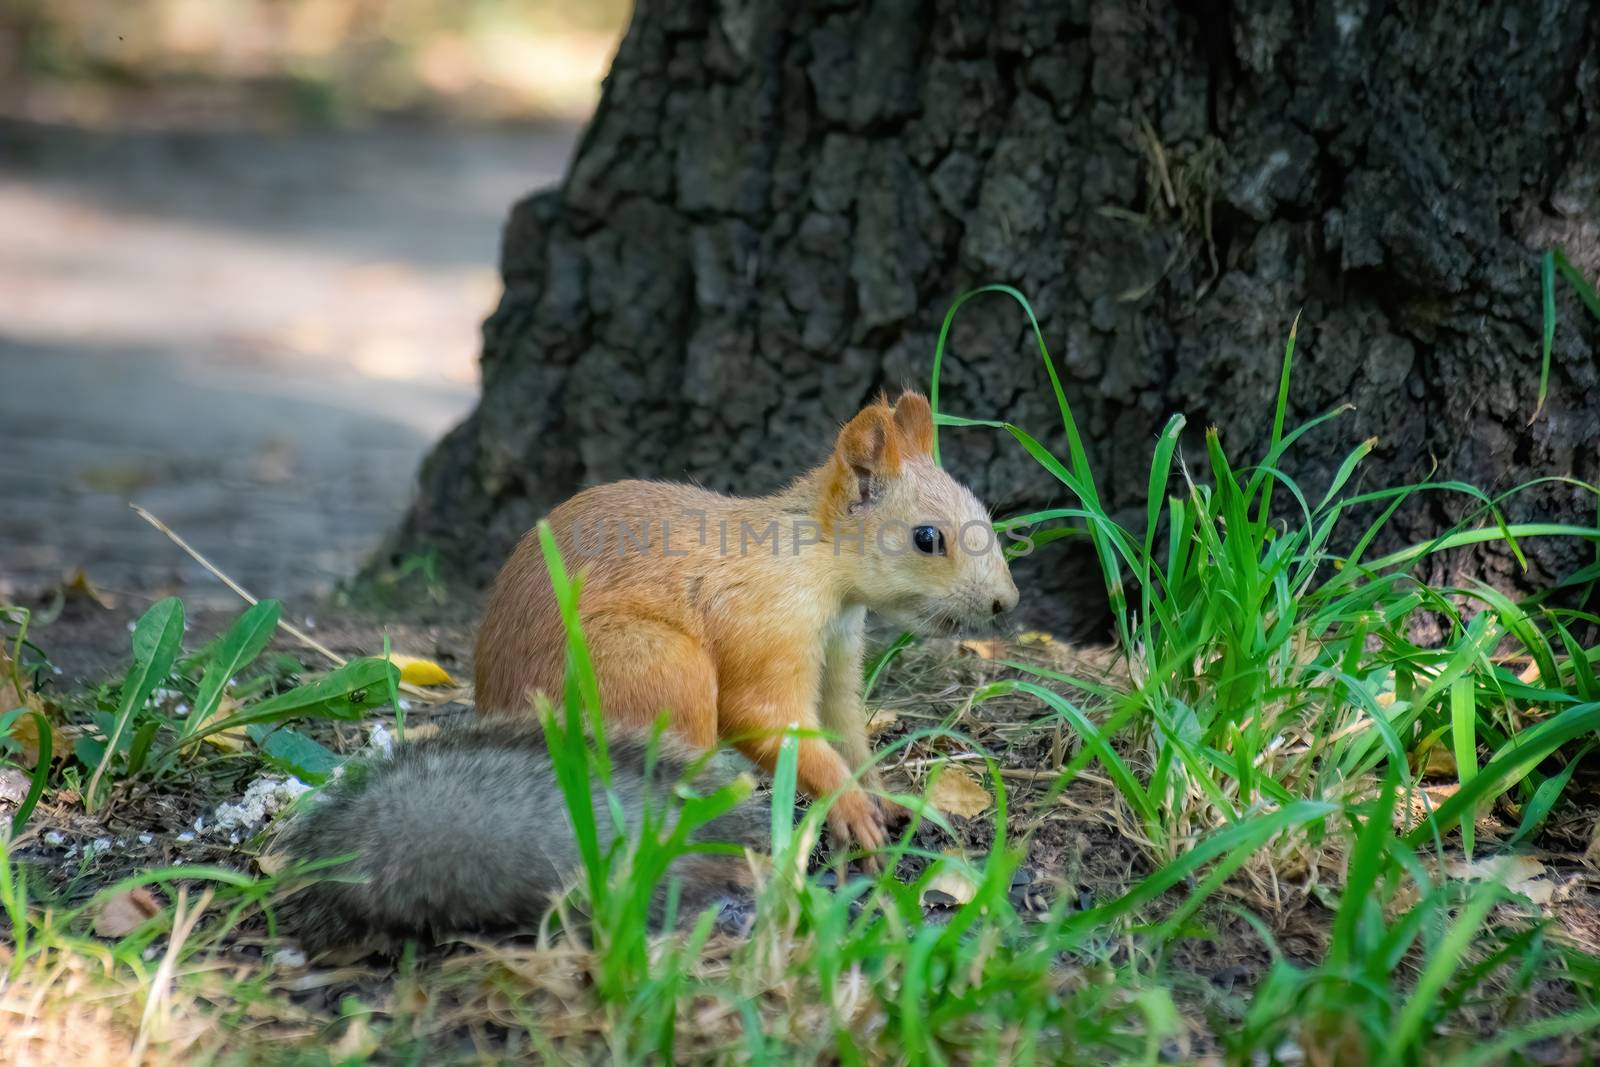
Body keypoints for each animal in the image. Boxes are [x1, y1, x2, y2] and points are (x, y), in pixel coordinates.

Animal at [473, 388, 1017, 857]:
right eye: (926, 538)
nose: (1005, 602)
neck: (817, 564)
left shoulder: (839, 647)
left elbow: (845, 730)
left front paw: (883, 798)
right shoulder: (767, 622)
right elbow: (763, 716)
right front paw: (849, 806)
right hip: (653, 666)